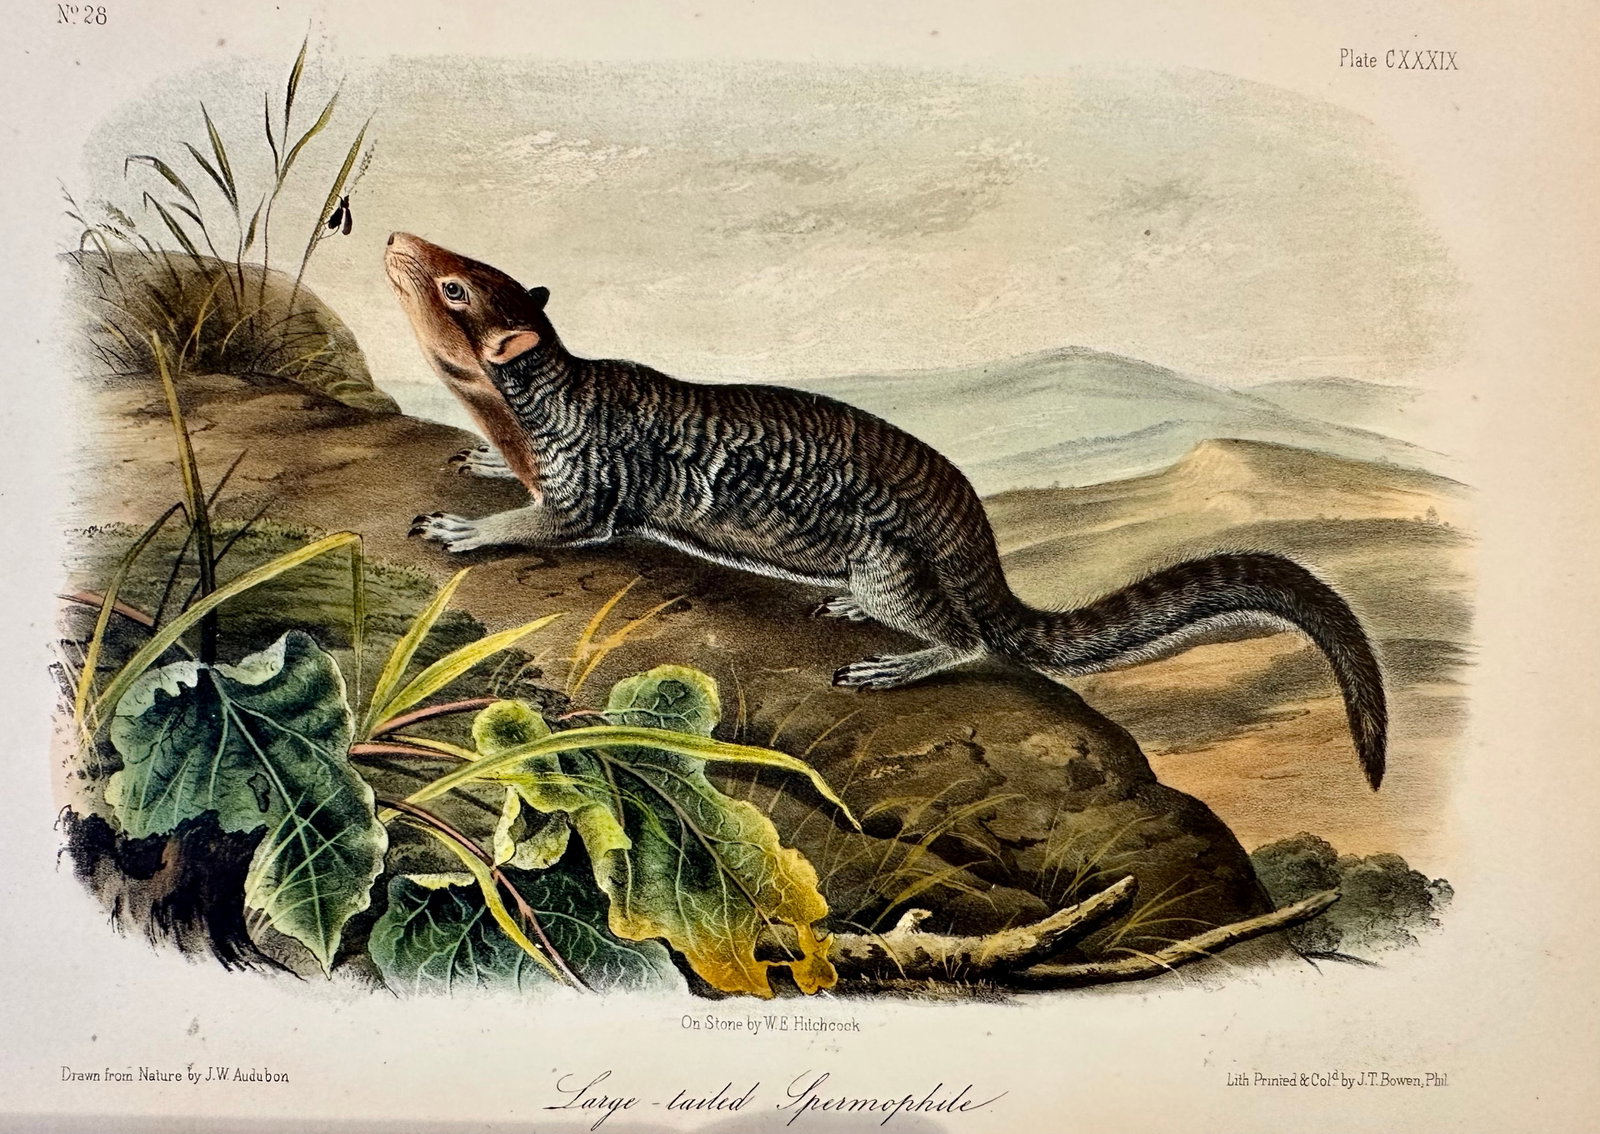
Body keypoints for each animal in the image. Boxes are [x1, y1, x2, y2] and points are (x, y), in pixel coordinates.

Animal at [385, 232, 1388, 789]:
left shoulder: (588, 479)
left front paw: (467, 526)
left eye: (454, 285)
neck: (548, 388)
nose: (398, 237)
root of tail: (966, 524)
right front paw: (486, 459)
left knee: (968, 638)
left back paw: (904, 658)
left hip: (889, 564)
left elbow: (560, 520)